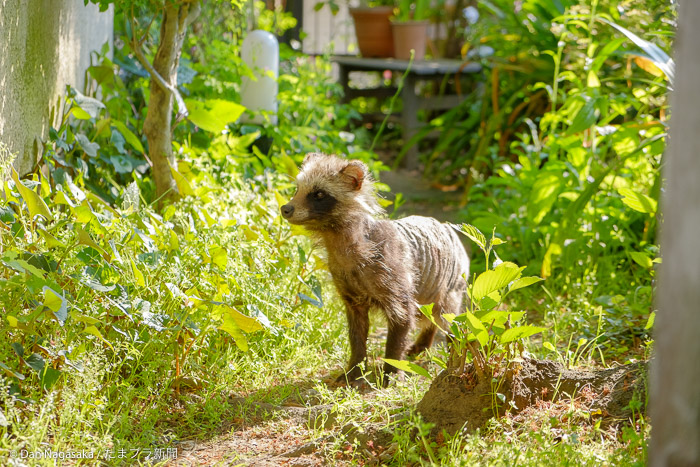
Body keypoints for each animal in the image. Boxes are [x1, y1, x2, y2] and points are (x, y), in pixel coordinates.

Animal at [280, 154, 470, 384]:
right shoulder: (349, 292)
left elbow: (402, 323)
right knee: (432, 316)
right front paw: (355, 367)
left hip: (451, 283)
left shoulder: (395, 279)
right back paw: (424, 342)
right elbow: (357, 334)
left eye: (319, 194)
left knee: (448, 316)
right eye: (297, 189)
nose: (285, 208)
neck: (338, 241)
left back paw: (453, 346)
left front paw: (392, 369)